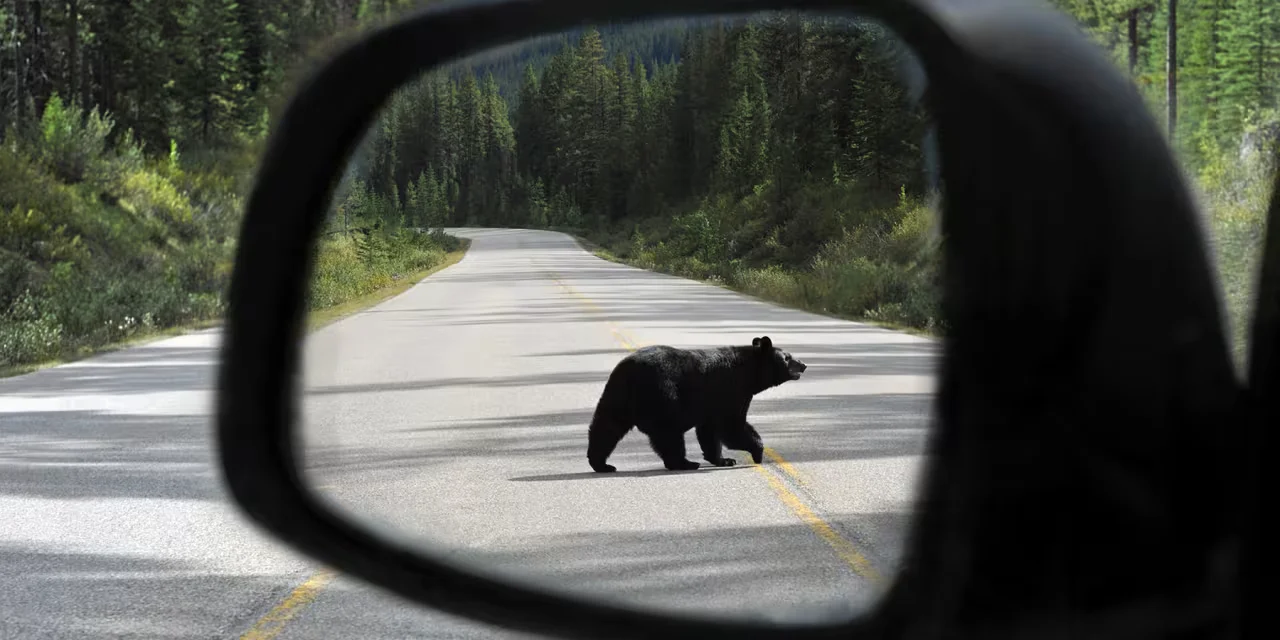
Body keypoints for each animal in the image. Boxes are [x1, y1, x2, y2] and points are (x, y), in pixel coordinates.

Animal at [586, 336, 807, 473]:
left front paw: (724, 459)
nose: (803, 365)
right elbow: (732, 426)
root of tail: (628, 372)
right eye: (787, 357)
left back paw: (601, 464)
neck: (748, 373)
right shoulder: (732, 391)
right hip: (663, 396)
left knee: (606, 427)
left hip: (617, 395)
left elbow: (709, 431)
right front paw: (757, 452)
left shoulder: (713, 404)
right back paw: (684, 463)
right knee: (669, 434)